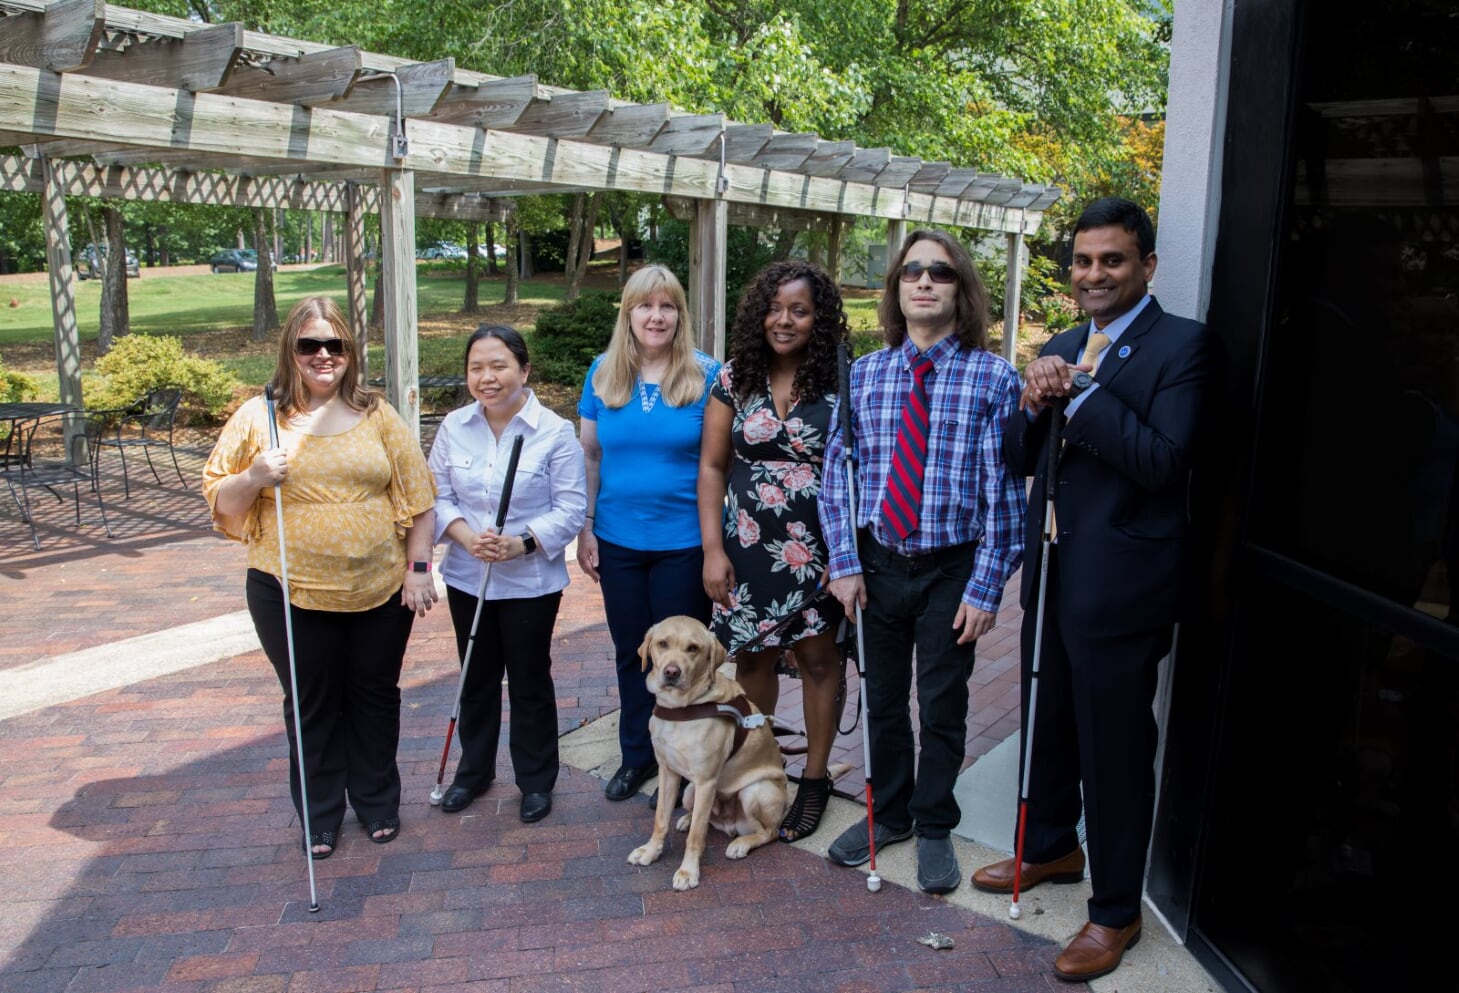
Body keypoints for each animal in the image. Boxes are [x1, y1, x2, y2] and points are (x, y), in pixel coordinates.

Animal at [627, 615, 787, 886]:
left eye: (693, 648)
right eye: (662, 643)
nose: (671, 672)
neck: (680, 707)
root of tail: (731, 825)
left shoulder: (706, 781)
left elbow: (696, 836)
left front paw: (688, 872)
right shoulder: (668, 772)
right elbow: (660, 819)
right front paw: (650, 851)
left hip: (755, 791)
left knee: (769, 832)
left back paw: (741, 843)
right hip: (689, 791)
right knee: (706, 818)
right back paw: (687, 818)